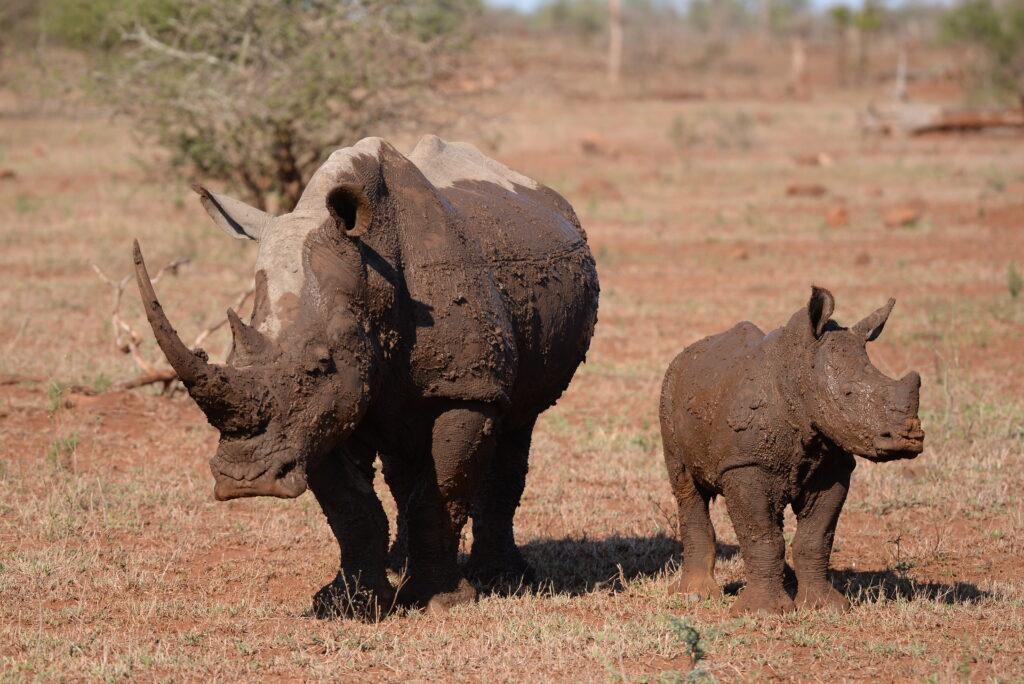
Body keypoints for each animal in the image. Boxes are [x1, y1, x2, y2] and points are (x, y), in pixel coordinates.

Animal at [136, 136, 598, 618]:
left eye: (319, 365)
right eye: (232, 355)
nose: (245, 481)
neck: (371, 281)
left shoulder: (466, 388)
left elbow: (444, 490)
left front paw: (441, 602)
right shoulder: (320, 415)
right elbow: (351, 508)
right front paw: (348, 604)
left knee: (517, 426)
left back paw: (504, 578)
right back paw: (402, 566)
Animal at [659, 286, 925, 618]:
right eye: (847, 395)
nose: (908, 439)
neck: (799, 378)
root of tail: (685, 354)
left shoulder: (833, 467)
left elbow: (815, 538)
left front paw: (826, 607)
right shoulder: (744, 465)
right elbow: (762, 536)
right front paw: (763, 613)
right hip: (668, 393)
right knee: (687, 487)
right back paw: (694, 596)